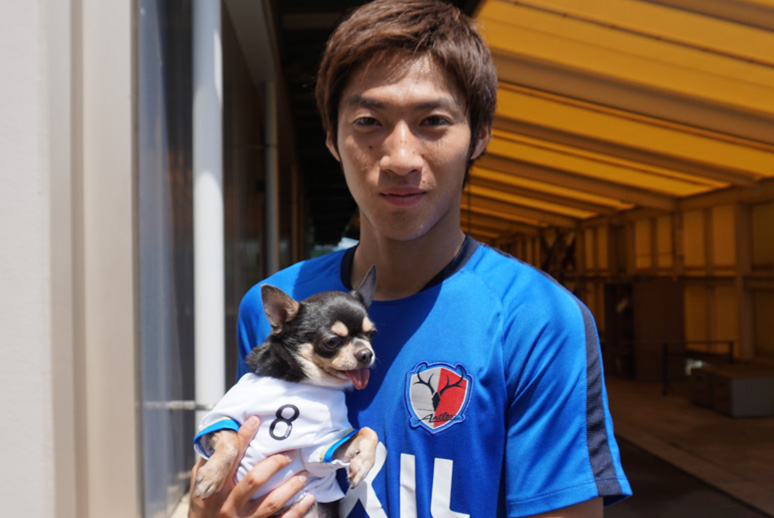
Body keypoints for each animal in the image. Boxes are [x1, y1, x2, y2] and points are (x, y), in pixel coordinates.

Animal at [193, 267, 379, 517]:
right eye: (332, 342)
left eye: (372, 335)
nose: (367, 354)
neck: (302, 382)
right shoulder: (223, 415)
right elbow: (232, 440)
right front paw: (211, 476)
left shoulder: (322, 445)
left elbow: (369, 432)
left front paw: (362, 465)